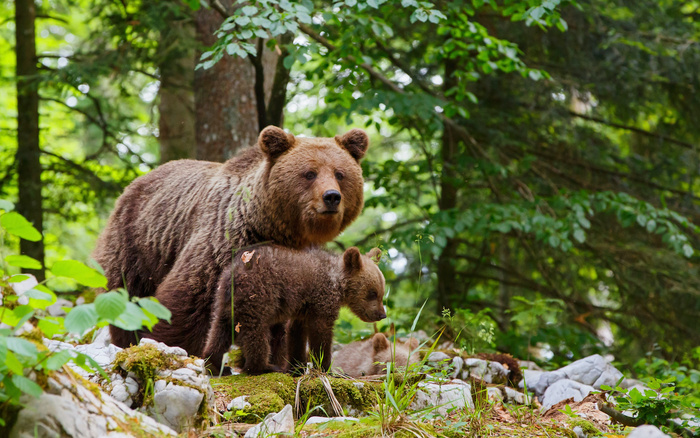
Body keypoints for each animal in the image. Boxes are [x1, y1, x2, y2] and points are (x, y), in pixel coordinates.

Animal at [95, 126, 370, 350]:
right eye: (310, 173)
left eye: (340, 173)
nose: (331, 197)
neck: (273, 228)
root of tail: (138, 179)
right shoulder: (224, 241)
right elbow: (188, 298)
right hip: (138, 241)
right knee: (127, 294)